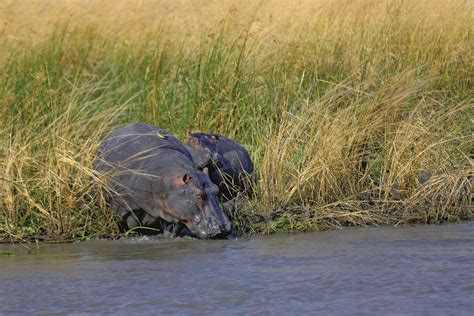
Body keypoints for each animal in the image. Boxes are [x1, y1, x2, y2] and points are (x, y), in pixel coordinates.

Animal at [92, 123, 231, 239]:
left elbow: (171, 230)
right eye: (198, 195)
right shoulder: (122, 207)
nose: (223, 228)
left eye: (216, 190)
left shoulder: (173, 211)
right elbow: (129, 224)